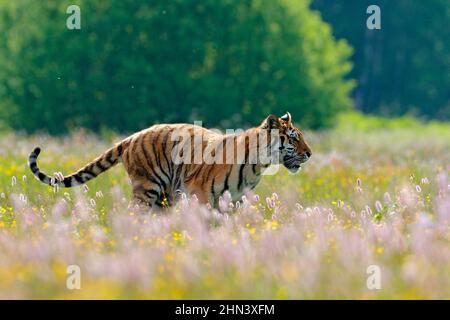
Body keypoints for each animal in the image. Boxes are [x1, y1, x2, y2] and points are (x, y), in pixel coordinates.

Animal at [27, 113, 310, 210]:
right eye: (293, 138)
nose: (309, 154)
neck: (257, 166)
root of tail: (132, 137)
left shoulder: (235, 200)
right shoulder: (201, 194)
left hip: (164, 196)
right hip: (148, 188)